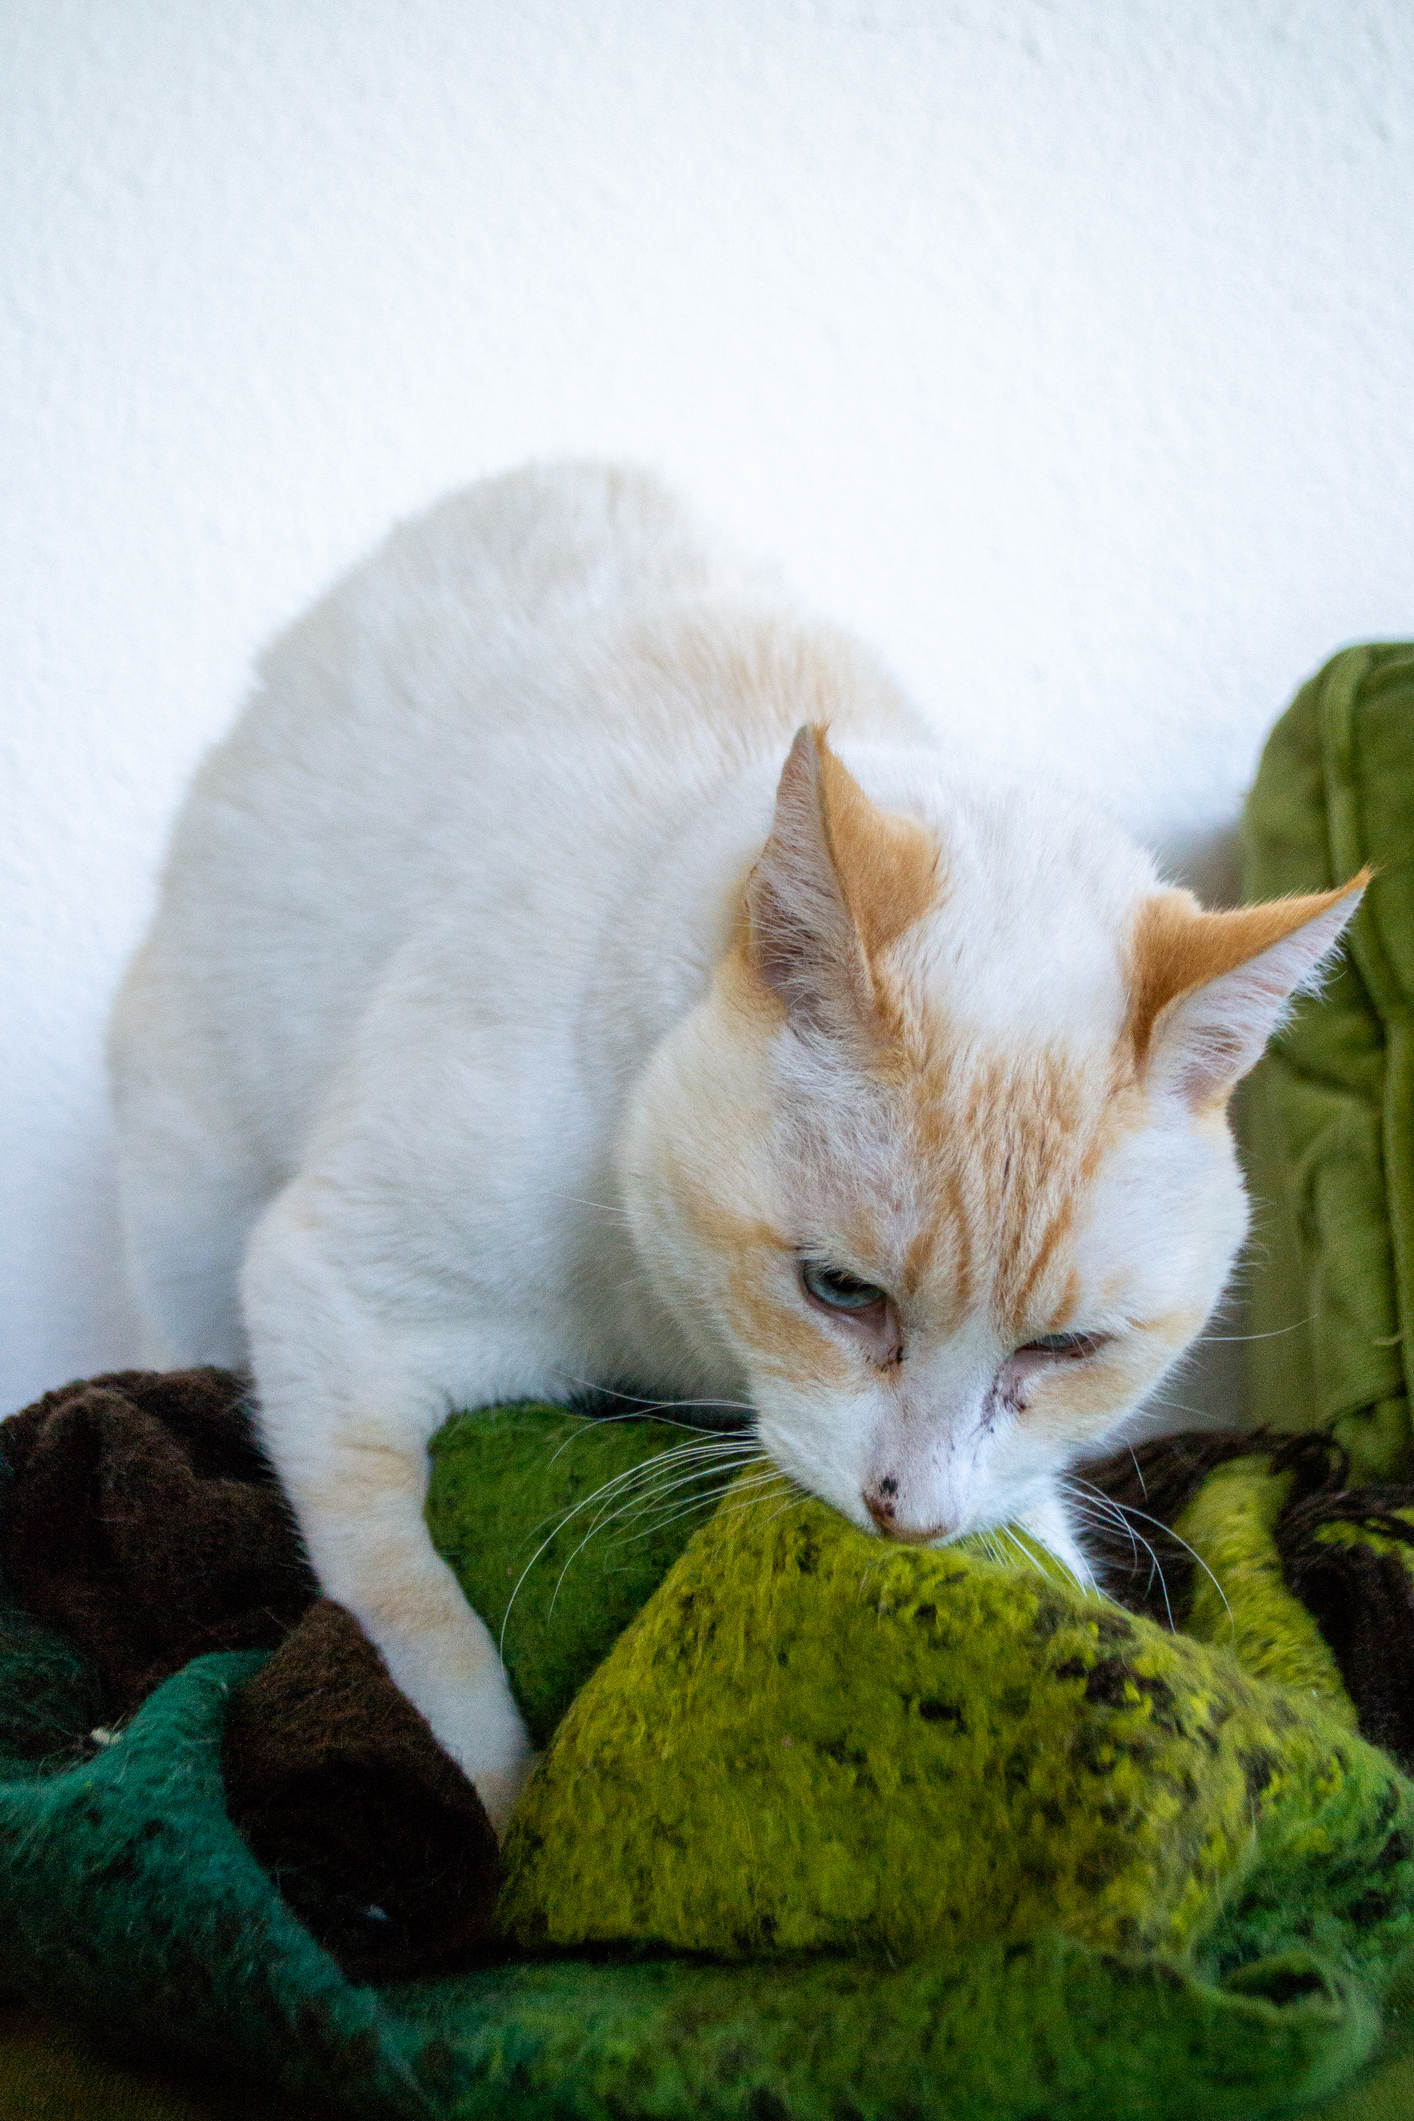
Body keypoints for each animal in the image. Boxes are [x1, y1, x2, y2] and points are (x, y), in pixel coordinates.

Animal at [110, 460, 1356, 1824]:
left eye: (1063, 1349)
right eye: (840, 1293)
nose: (906, 1521)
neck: (681, 1339)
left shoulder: (1011, 1485)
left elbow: (1062, 1571)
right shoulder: (332, 1305)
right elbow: (416, 1628)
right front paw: (503, 1826)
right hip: (185, 1216)